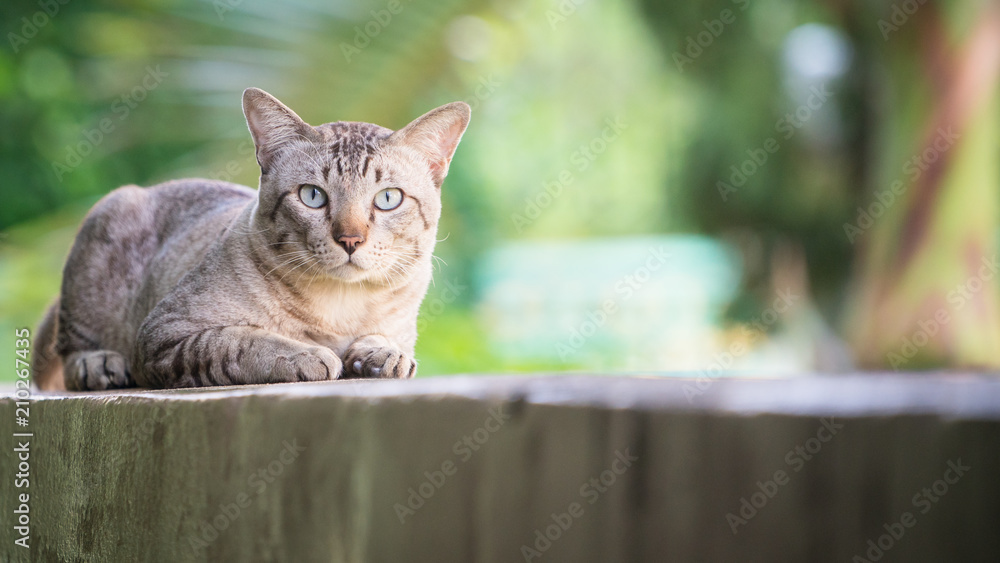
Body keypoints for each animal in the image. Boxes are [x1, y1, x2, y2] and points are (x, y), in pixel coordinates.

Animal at [31, 88, 468, 390]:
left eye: (388, 199)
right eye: (313, 196)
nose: (350, 240)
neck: (339, 310)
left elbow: (390, 344)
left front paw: (382, 354)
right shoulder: (163, 334)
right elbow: (240, 340)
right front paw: (309, 354)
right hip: (109, 218)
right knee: (70, 352)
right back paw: (100, 364)